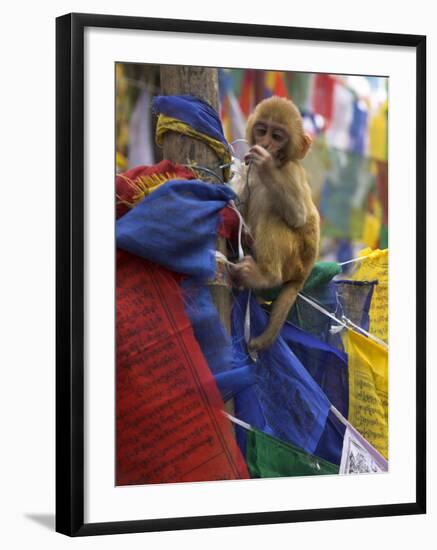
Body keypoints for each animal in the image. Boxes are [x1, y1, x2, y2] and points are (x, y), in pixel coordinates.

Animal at [230, 96, 318, 350]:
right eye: (262, 131)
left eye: (277, 136)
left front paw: (266, 165)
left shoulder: (291, 172)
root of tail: (303, 274)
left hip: (295, 261)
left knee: (273, 213)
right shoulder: (248, 171)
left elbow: (299, 216)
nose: (266, 144)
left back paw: (267, 276)